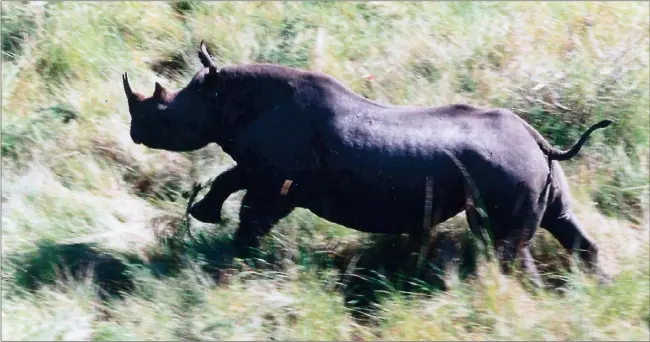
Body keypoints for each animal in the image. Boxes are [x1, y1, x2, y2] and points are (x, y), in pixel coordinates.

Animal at [123, 41, 612, 284]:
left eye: (167, 119)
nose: (135, 133)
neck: (226, 100)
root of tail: (539, 140)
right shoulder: (263, 166)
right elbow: (229, 178)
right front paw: (205, 217)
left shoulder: (276, 179)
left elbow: (251, 214)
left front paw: (231, 262)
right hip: (536, 167)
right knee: (562, 221)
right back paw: (595, 289)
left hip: (509, 171)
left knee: (505, 245)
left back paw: (505, 292)